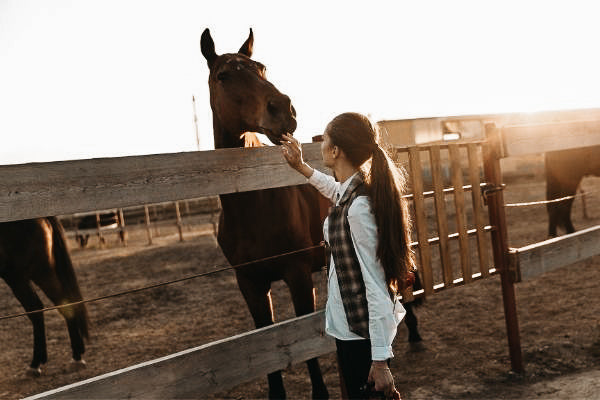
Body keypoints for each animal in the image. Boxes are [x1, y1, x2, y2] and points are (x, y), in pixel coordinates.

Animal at [200, 27, 422, 396]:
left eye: (262, 68)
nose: (283, 109)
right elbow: (267, 343)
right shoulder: (250, 283)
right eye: (223, 75)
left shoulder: (298, 274)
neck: (252, 204)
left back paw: (415, 335)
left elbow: (307, 348)